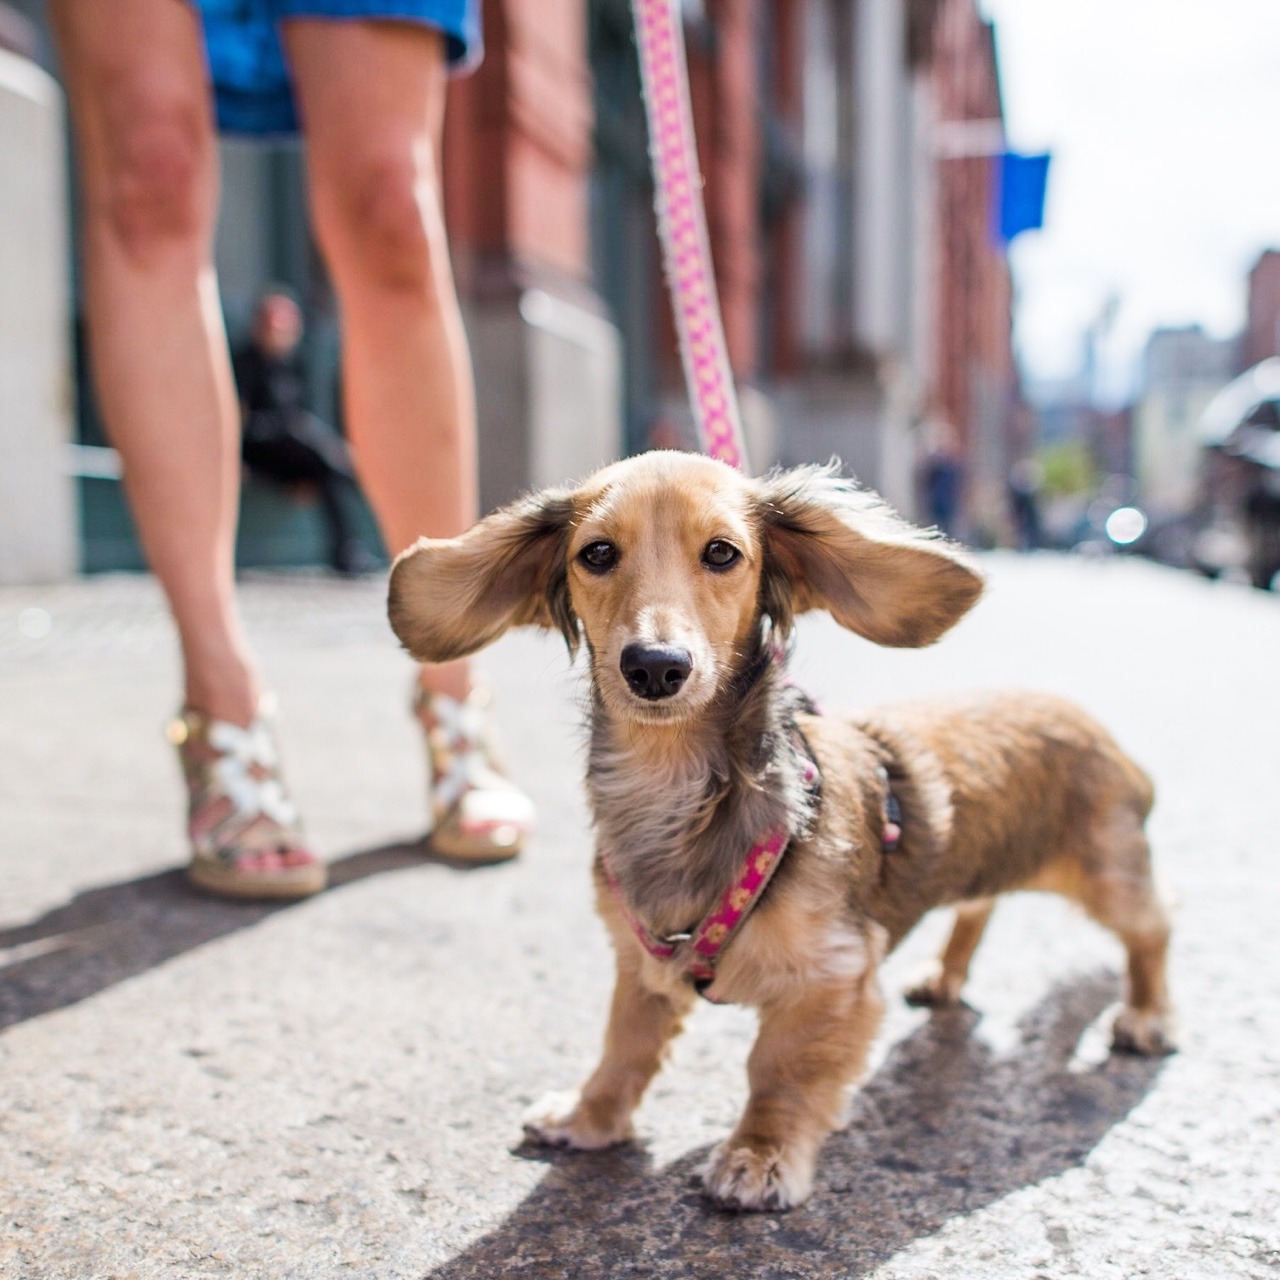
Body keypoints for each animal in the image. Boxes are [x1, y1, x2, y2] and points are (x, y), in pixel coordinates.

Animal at [384, 450, 1172, 1208]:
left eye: (723, 553)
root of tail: (1089, 723)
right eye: (597, 553)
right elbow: (622, 1049)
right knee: (977, 909)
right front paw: (589, 1116)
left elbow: (778, 1071)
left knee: (1151, 931)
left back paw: (1147, 1016)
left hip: (1109, 873)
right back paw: (945, 976)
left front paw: (759, 1157)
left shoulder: (833, 976)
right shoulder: (639, 964)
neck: (675, 793)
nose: (655, 667)